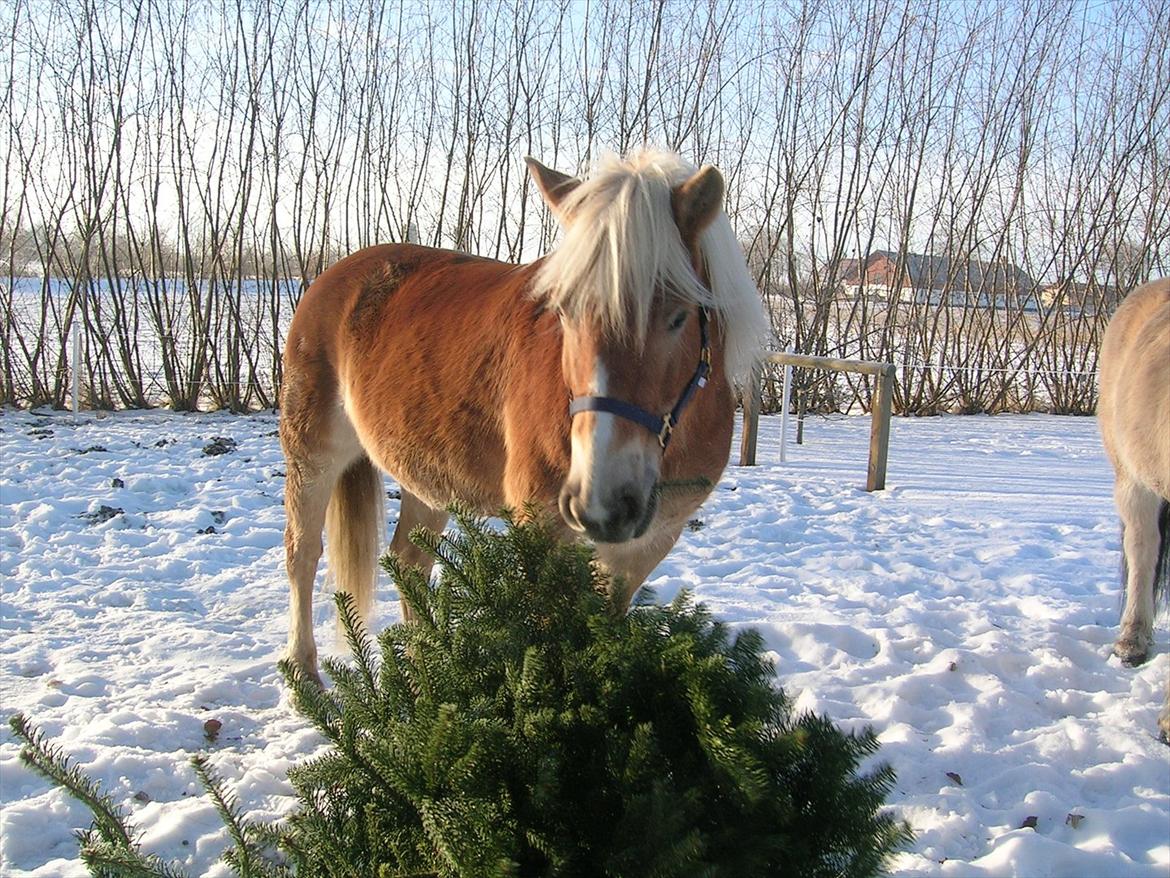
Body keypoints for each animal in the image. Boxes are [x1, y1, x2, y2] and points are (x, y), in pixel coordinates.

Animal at [276, 151, 767, 683]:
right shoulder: (542, 532)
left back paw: (425, 666)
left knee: (409, 560)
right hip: (312, 453)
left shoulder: (645, 545)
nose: (601, 503)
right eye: (565, 313)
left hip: (426, 471)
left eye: (678, 317)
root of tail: (334, 275)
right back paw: (304, 672)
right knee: (302, 553)